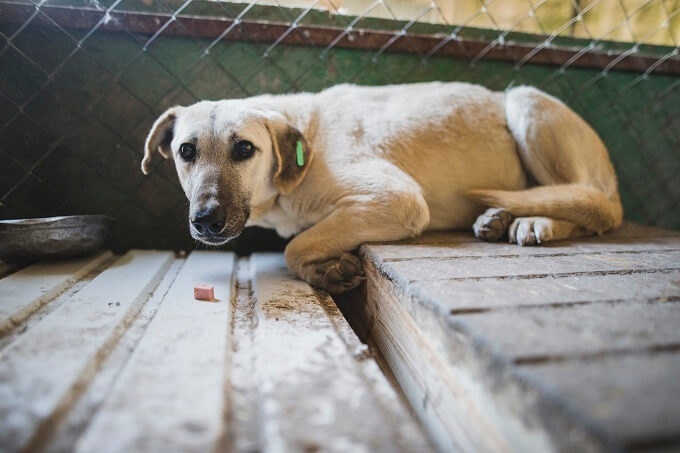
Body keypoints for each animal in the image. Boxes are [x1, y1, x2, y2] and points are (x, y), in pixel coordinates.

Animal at [142, 82, 620, 294]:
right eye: (186, 151)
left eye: (244, 148)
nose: (206, 221)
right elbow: (300, 243)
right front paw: (325, 269)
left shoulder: (397, 200)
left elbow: (295, 248)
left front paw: (325, 270)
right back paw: (497, 217)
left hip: (525, 102)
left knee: (594, 206)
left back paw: (537, 220)